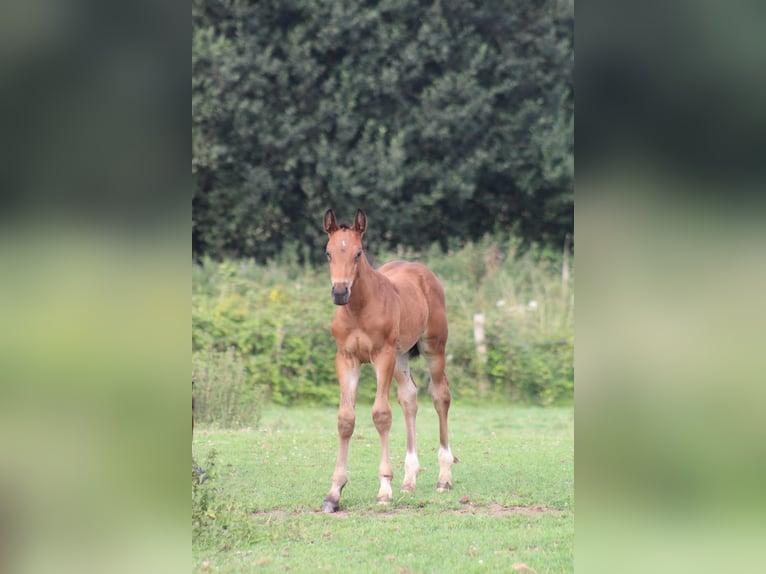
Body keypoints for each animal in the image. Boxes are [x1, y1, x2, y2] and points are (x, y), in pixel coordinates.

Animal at [321, 208, 456, 513]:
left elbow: (381, 414)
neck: (358, 310)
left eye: (358, 253)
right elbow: (345, 419)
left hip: (433, 348)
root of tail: (422, 271)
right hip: (401, 355)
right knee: (409, 398)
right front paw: (334, 493)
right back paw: (409, 480)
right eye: (328, 252)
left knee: (440, 395)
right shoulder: (346, 359)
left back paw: (444, 477)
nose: (339, 292)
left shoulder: (382, 356)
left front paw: (384, 489)